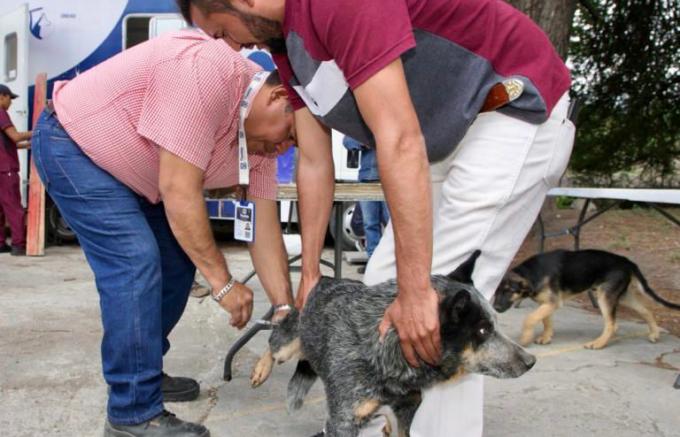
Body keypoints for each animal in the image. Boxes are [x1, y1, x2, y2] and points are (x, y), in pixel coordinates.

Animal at [250, 250, 536, 434]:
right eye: (483, 330)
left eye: (495, 323)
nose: (530, 361)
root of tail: (325, 279)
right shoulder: (343, 420)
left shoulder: (406, 410)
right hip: (287, 345)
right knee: (273, 342)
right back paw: (261, 369)